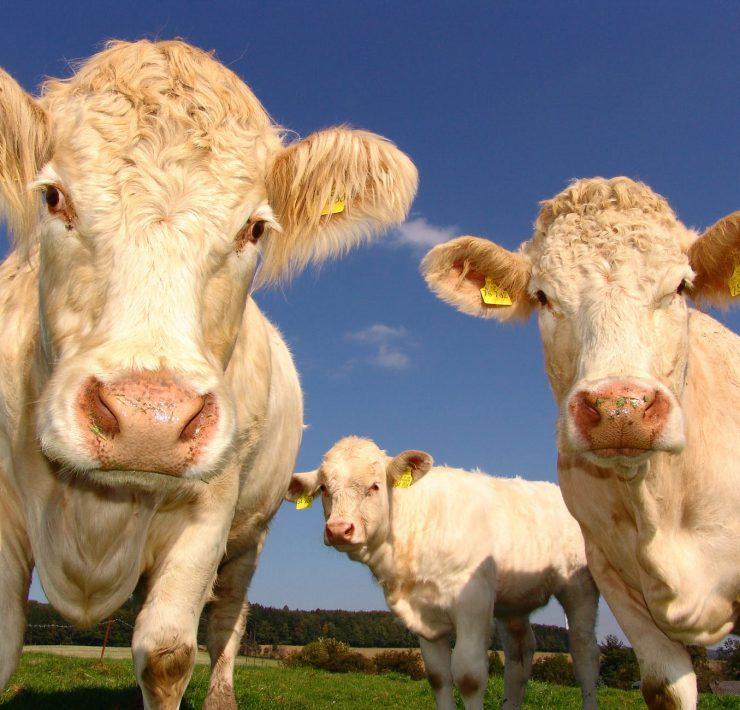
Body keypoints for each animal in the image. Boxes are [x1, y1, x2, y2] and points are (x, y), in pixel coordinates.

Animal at [0, 39, 417, 708]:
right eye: (53, 197)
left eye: (255, 228)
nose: (148, 419)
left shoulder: (210, 512)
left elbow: (168, 652)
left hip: (251, 533)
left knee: (225, 619)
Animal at [287, 436, 601, 710]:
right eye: (324, 488)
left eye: (374, 486)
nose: (339, 529)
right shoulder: (424, 615)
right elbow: (438, 677)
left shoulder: (473, 602)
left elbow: (469, 676)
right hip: (512, 601)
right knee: (520, 656)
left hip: (580, 586)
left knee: (584, 653)